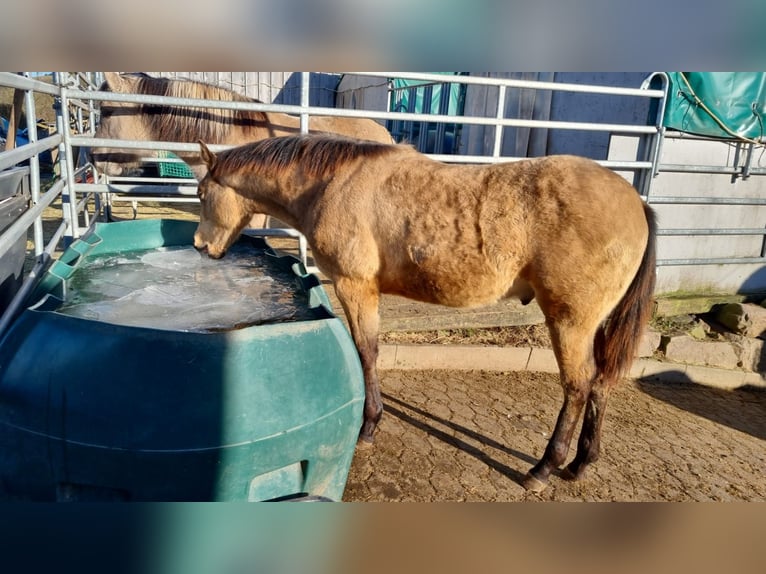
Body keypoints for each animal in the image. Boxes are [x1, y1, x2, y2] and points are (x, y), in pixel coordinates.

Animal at [192, 135, 660, 496]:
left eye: (201, 194)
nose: (200, 246)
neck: (334, 184)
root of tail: (636, 203)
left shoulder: (355, 286)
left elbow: (367, 354)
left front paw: (368, 428)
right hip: (593, 325)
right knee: (600, 383)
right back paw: (580, 464)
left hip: (570, 321)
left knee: (578, 386)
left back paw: (544, 468)